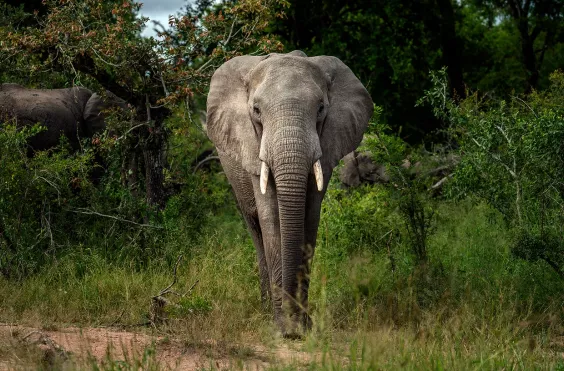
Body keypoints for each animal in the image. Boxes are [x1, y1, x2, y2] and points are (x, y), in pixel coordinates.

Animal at [205, 49, 372, 338]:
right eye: (256, 111)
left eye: (320, 109)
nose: (292, 326)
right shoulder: (252, 147)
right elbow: (271, 217)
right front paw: (282, 326)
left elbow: (310, 217)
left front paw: (302, 326)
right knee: (255, 229)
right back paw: (264, 310)